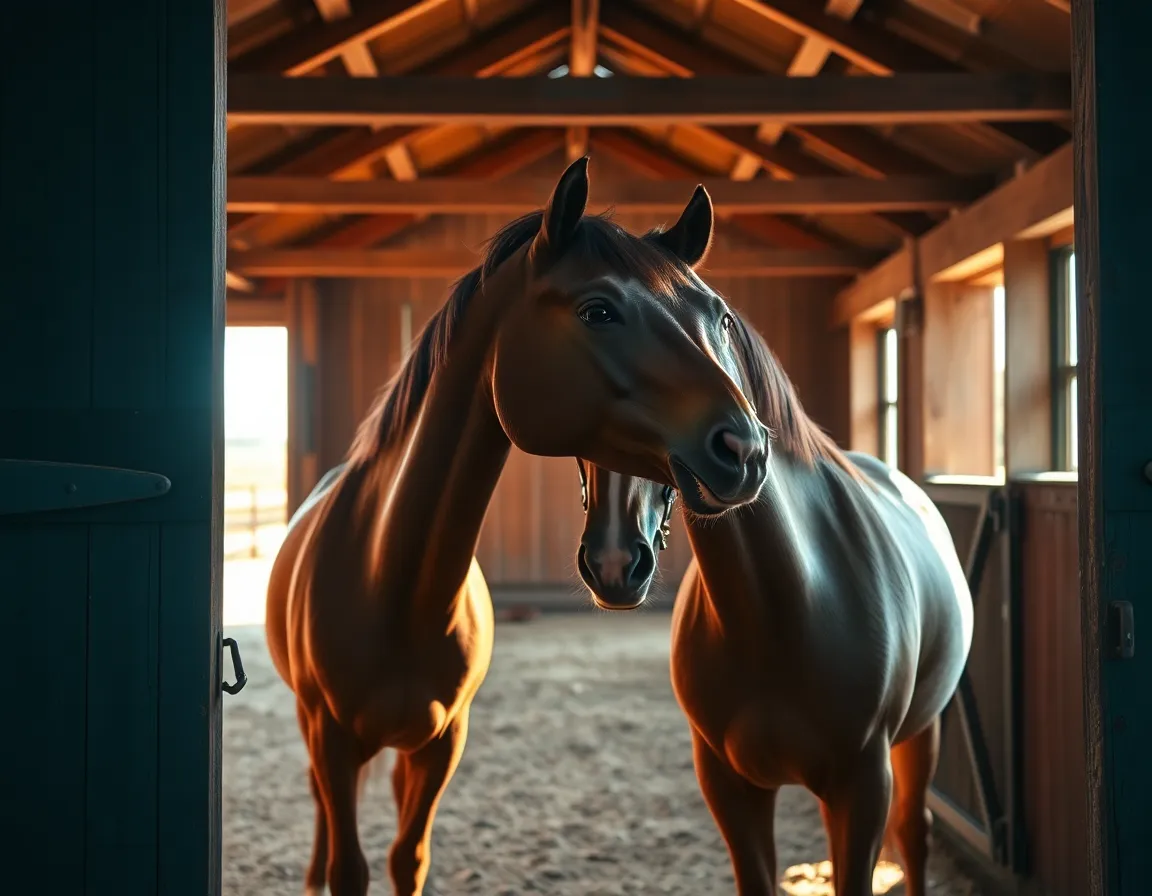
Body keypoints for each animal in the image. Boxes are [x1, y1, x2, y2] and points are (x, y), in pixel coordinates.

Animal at [263, 157, 772, 896]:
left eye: (721, 317)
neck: (392, 584)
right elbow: (348, 867)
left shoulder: (442, 742)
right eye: (598, 310)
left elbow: (407, 858)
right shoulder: (331, 738)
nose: (747, 449)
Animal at [573, 308, 973, 896]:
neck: (780, 611)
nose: (614, 563)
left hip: (923, 731)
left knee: (911, 832)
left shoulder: (861, 785)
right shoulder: (730, 786)